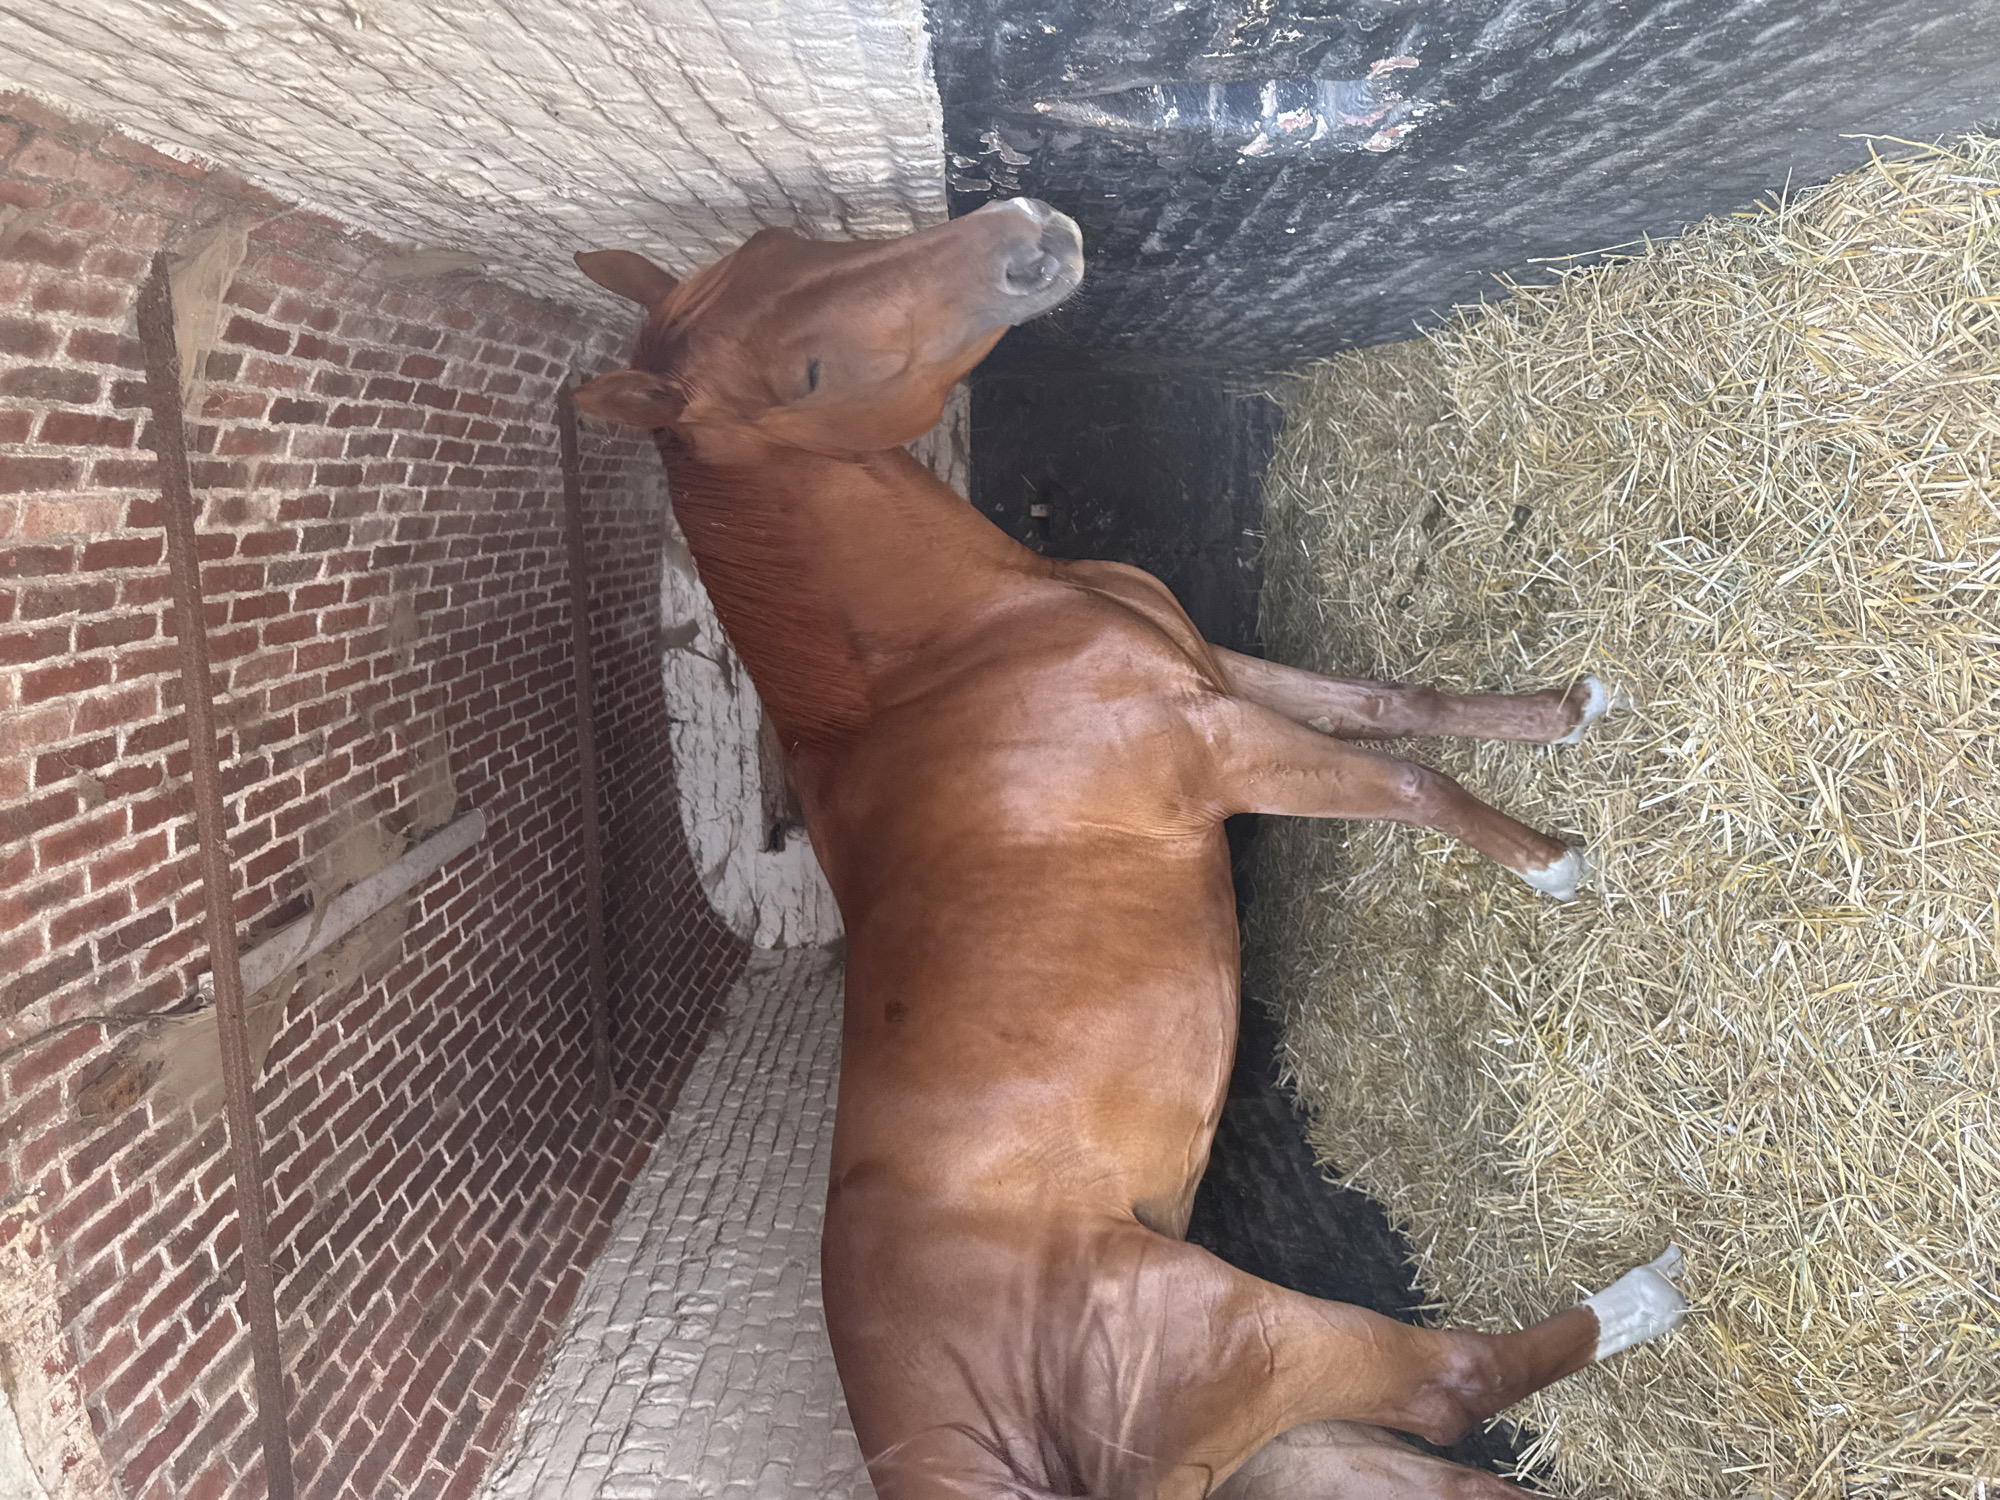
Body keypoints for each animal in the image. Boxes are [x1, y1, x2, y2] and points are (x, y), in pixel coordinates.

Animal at [571, 197, 1688, 1499]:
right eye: (803, 373)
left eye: (793, 243)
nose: (1025, 232)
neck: (940, 654)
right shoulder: (1218, 747)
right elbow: (1406, 779)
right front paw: (1549, 863)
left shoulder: (1214, 675)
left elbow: (1383, 702)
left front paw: (1565, 714)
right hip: (1243, 1331)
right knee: (1448, 1384)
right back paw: (1648, 1295)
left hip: (1291, 1450)